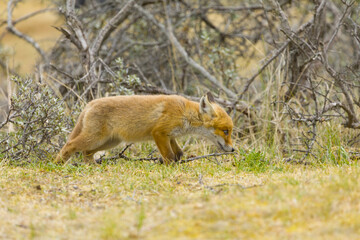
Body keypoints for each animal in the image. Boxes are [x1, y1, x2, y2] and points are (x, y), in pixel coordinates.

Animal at [56, 91, 235, 164]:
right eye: (225, 131)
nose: (233, 150)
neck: (184, 112)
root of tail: (90, 103)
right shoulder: (159, 133)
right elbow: (169, 155)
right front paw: (169, 167)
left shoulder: (170, 136)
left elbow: (179, 153)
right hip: (95, 138)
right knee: (70, 145)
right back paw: (56, 165)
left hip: (110, 142)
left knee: (86, 153)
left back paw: (92, 167)